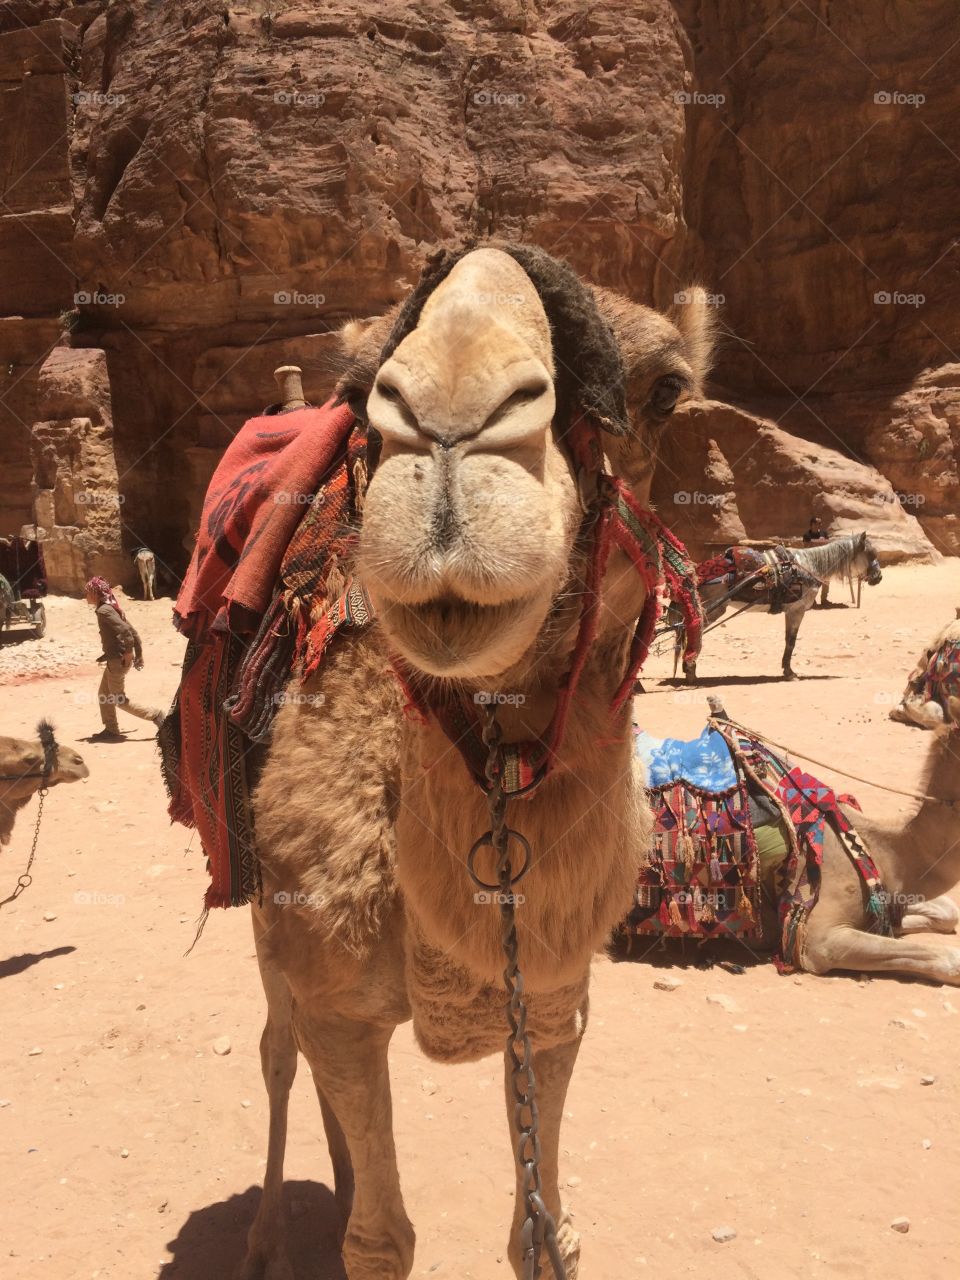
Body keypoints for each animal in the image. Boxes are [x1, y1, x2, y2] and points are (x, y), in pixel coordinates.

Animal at [236, 246, 714, 1280]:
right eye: (359, 387)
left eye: (666, 387)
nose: (451, 412)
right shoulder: (338, 997)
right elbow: (380, 1242)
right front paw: (351, 1225)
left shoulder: (557, 999)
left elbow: (541, 1235)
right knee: (278, 1049)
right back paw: (268, 1239)